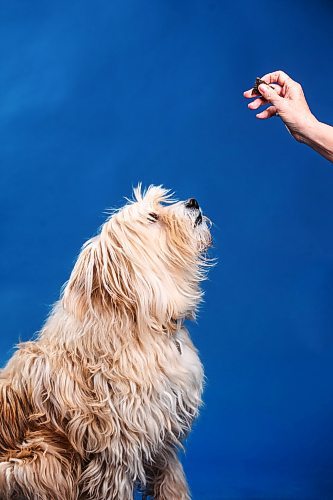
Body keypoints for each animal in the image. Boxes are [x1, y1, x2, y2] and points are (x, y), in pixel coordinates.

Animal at [0, 186, 211, 498]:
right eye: (153, 216)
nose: (193, 201)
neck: (146, 325)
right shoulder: (115, 454)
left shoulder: (164, 441)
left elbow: (172, 485)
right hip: (40, 462)